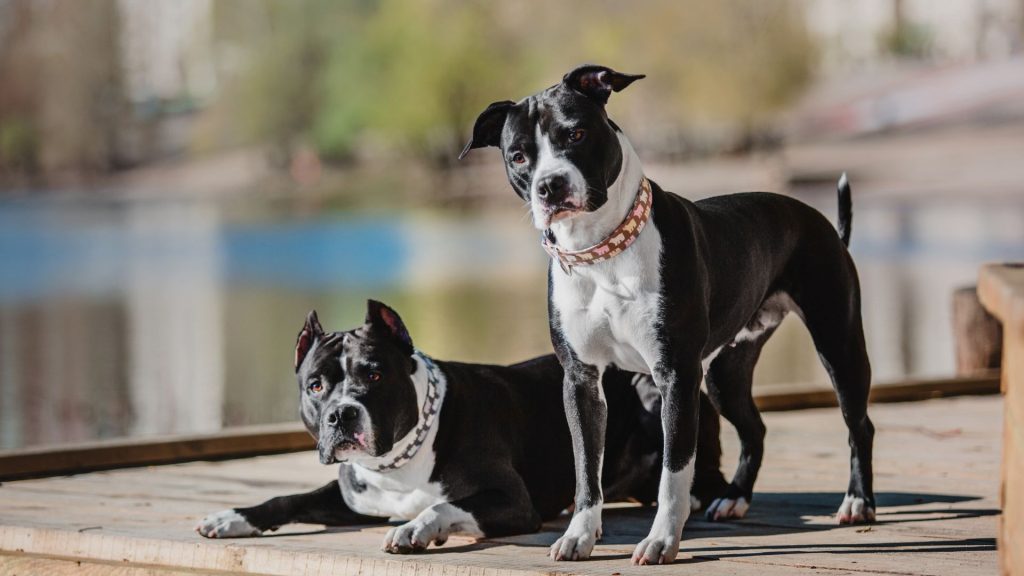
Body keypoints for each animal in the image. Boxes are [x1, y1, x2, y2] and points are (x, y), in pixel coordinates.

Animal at [195, 297, 729, 549]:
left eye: (373, 373)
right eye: (315, 385)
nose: (342, 413)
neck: (399, 463)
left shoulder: (512, 501)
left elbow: (445, 505)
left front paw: (416, 529)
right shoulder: (351, 495)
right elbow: (287, 499)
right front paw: (233, 517)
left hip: (654, 393)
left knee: (696, 472)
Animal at [462, 63, 872, 561]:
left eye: (575, 133)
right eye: (519, 156)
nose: (550, 186)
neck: (602, 252)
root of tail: (825, 224)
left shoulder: (675, 375)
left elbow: (674, 473)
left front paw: (661, 541)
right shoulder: (581, 381)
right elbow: (586, 470)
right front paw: (580, 535)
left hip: (838, 345)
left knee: (859, 424)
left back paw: (858, 502)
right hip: (724, 375)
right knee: (755, 429)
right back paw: (734, 498)